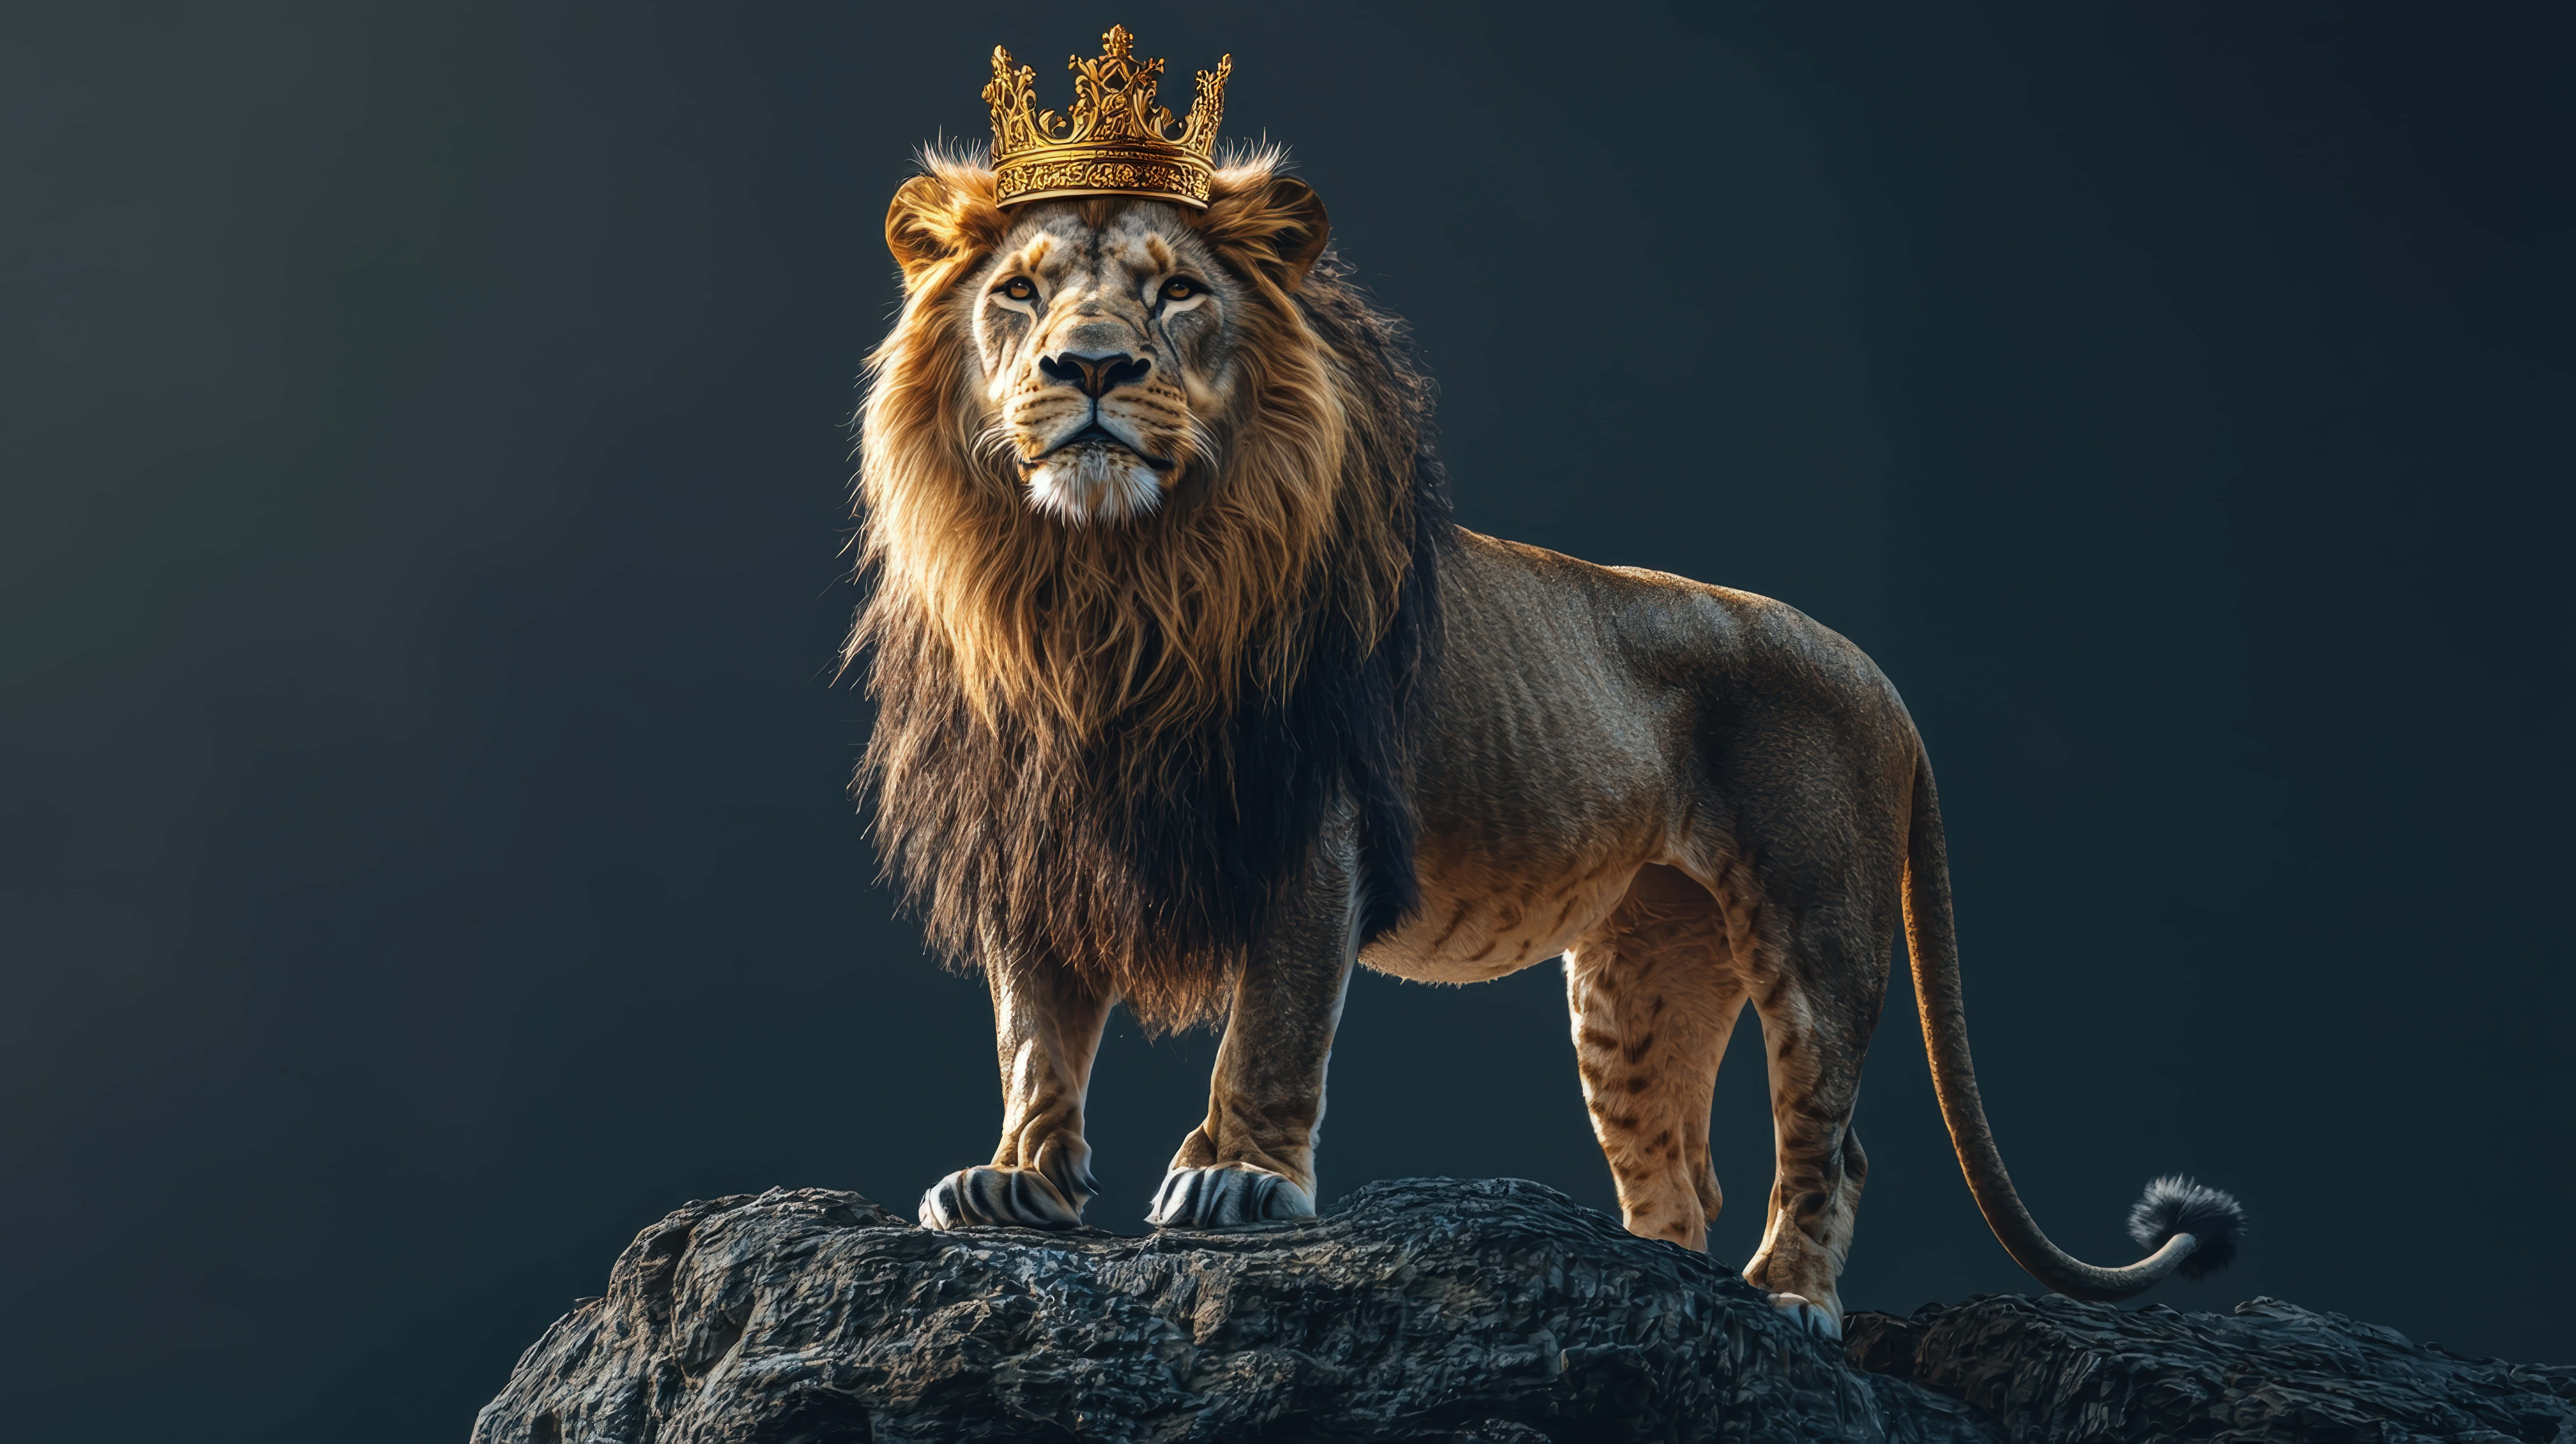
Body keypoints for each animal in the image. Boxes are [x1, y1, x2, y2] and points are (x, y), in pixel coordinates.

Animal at [847, 148, 2242, 1337]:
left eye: (1177, 290)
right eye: (1020, 294)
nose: (1087, 367)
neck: (1098, 585)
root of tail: (1876, 675)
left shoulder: (1316, 826)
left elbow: (1276, 1021)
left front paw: (1241, 1180)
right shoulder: (1033, 838)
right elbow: (1036, 1030)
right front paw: (1016, 1181)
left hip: (1816, 926)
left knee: (1831, 1142)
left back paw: (1793, 1302)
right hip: (1638, 978)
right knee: (1678, 1171)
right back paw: (1668, 1298)